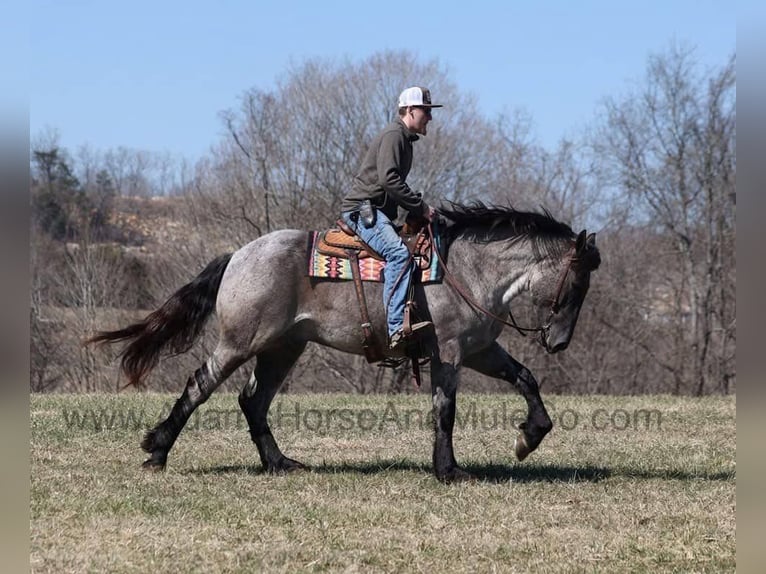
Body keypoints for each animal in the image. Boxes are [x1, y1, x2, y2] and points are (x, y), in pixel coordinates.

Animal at [89, 202, 600, 482]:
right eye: (576, 284)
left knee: (253, 401)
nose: (559, 342)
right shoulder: (451, 353)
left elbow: (526, 379)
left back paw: (280, 463)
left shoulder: (480, 350)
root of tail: (238, 255)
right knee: (201, 385)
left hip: (283, 348)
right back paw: (157, 451)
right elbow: (445, 410)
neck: (467, 270)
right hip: (241, 341)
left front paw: (528, 438)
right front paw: (449, 470)